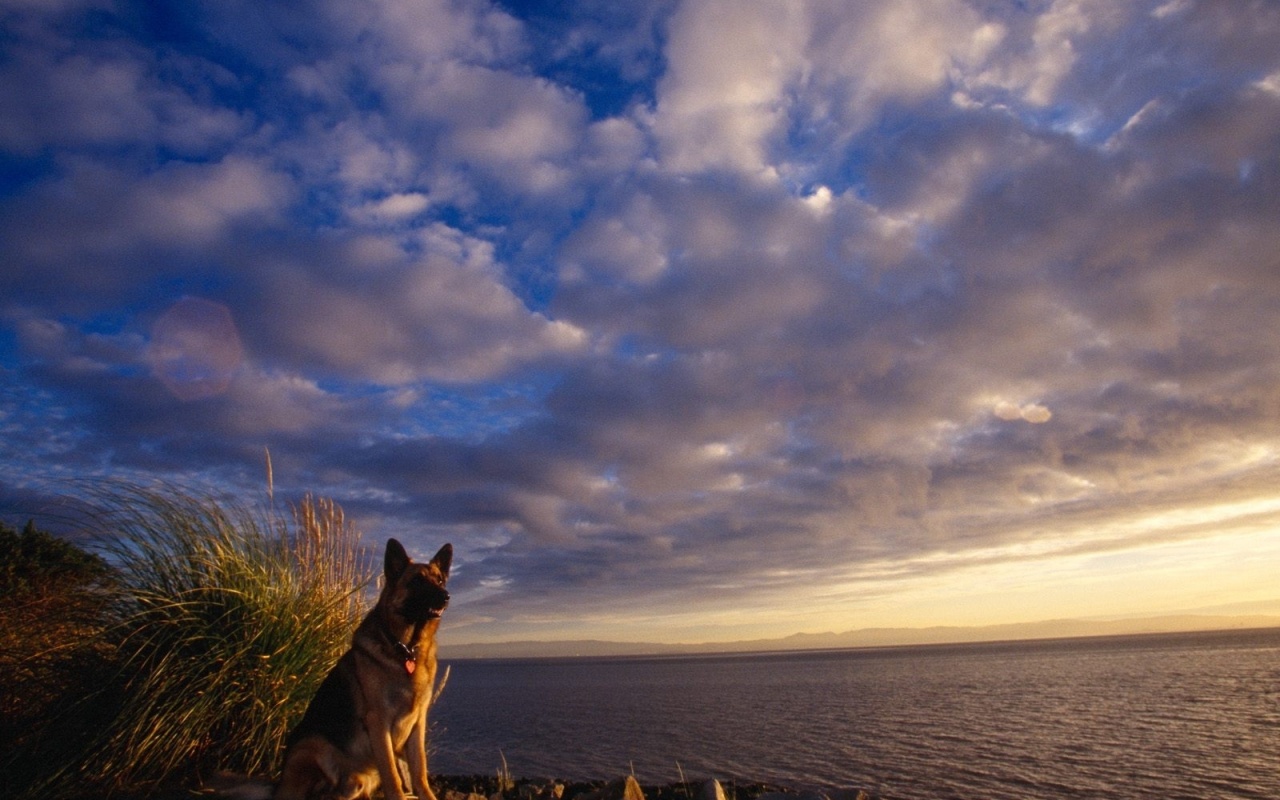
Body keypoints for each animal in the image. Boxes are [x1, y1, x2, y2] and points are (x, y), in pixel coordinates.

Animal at [273, 538, 452, 800]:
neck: (405, 650)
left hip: (356, 782)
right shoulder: (379, 722)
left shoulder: (418, 723)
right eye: (417, 580)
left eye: (439, 580)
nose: (446, 595)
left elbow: (419, 771)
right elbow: (392, 775)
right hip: (312, 747)